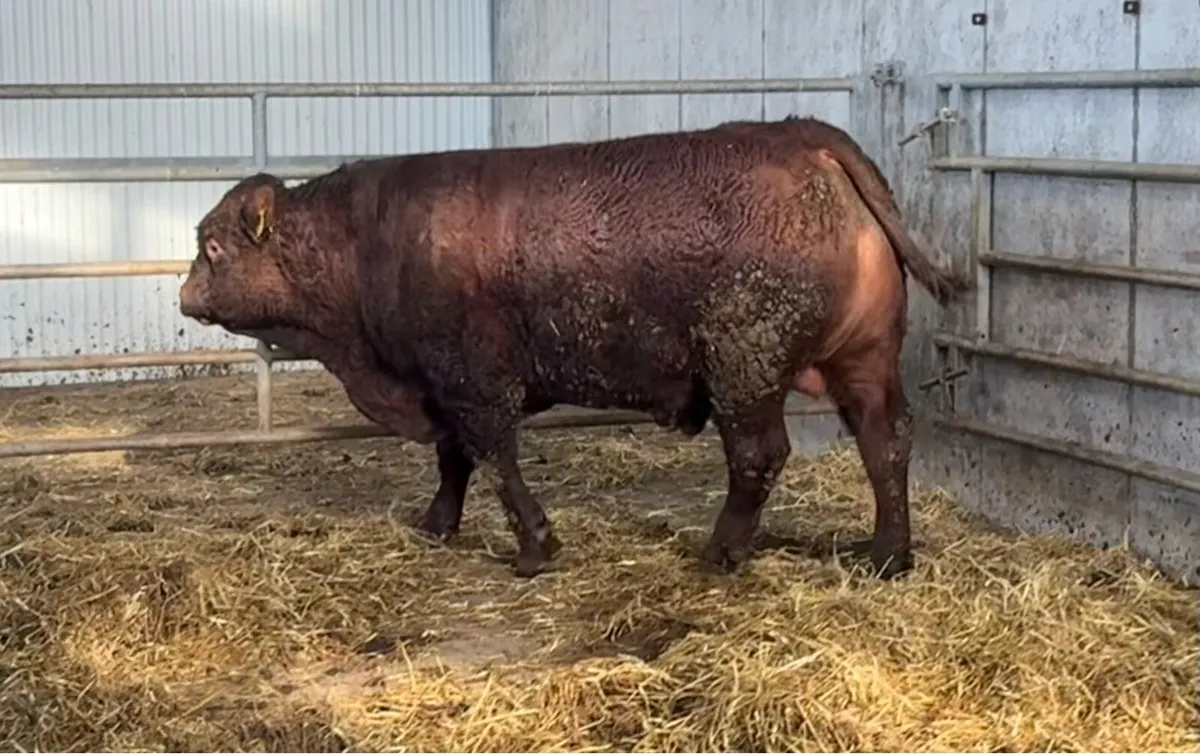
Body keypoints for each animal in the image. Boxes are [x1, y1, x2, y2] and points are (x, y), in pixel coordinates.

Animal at [178, 115, 971, 580]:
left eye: (212, 247)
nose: (185, 295)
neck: (364, 241)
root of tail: (802, 137)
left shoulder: (473, 381)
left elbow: (493, 459)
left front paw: (534, 545)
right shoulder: (441, 385)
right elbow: (453, 460)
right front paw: (438, 525)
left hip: (743, 366)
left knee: (759, 456)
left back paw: (721, 552)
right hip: (864, 357)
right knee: (885, 440)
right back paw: (887, 554)